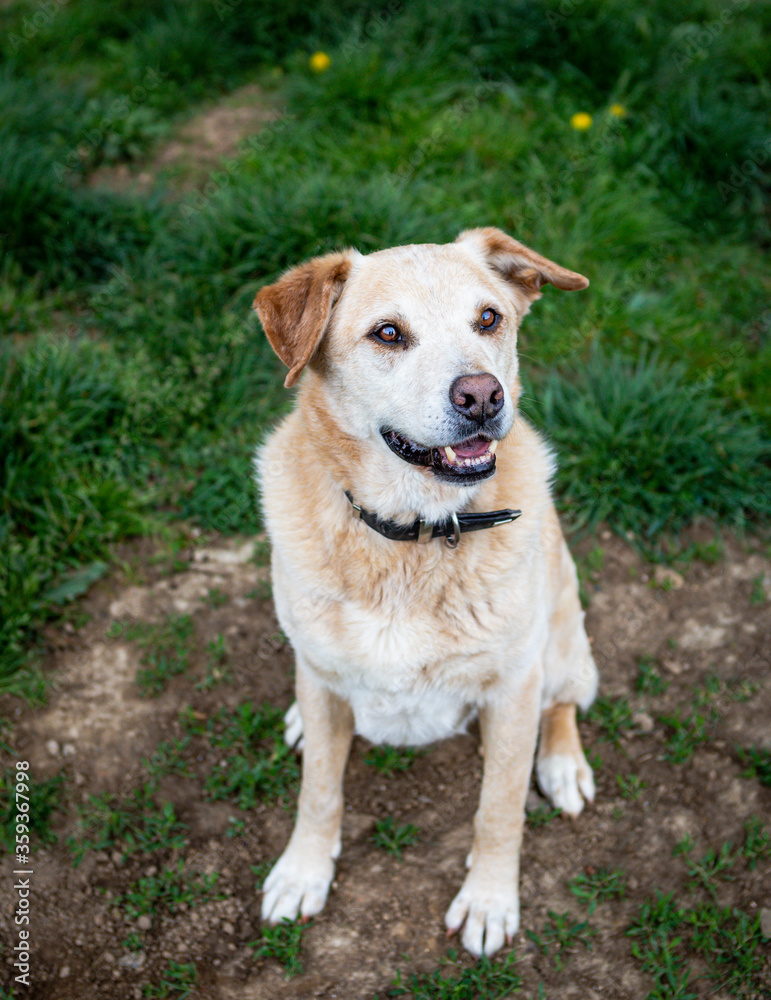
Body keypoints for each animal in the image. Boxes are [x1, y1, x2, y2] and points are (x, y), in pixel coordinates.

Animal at [253, 229, 596, 960]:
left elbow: (498, 810)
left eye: (488, 318)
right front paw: (302, 873)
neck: (412, 534)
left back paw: (561, 765)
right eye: (388, 333)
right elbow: (318, 791)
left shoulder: (512, 688)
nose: (482, 396)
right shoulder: (321, 679)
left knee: (564, 702)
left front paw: (489, 901)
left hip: (560, 641)